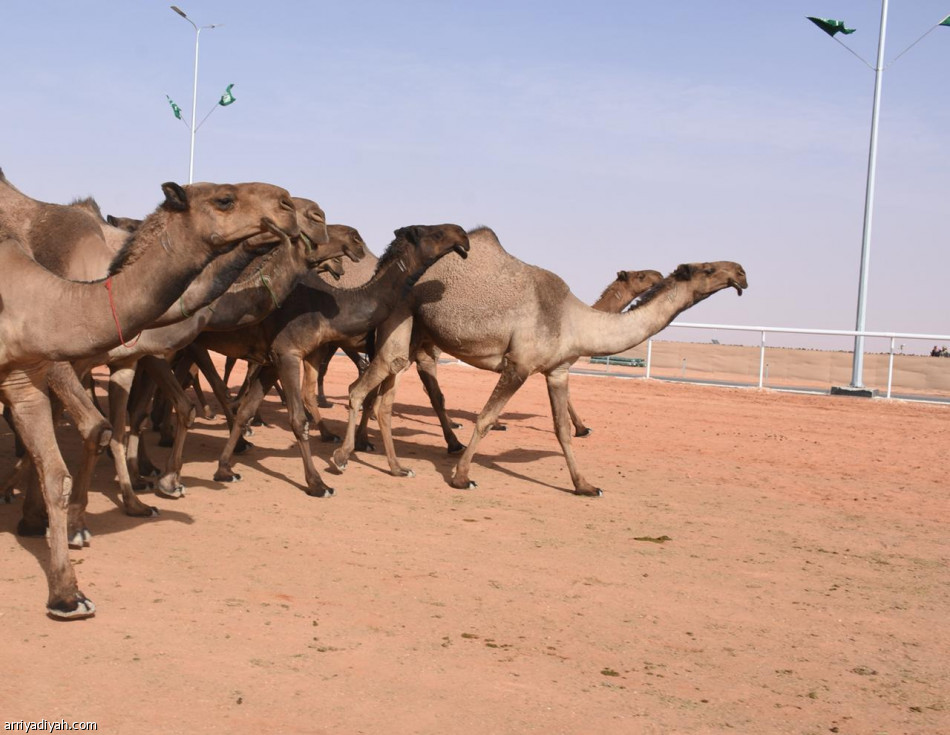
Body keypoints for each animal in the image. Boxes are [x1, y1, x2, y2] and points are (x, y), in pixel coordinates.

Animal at [0, 181, 298, 620]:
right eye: (224, 199)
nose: (288, 206)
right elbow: (99, 427)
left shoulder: (25, 376)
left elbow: (60, 472)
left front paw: (67, 595)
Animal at [203, 223, 470, 500]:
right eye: (436, 233)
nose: (462, 234)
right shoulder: (287, 353)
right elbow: (300, 419)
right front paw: (319, 482)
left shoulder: (273, 359)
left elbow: (248, 408)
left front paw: (224, 469)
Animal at [330, 227, 748, 498]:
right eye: (708, 269)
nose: (741, 272)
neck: (574, 319)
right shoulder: (519, 364)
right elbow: (486, 418)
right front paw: (462, 476)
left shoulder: (558, 371)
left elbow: (562, 430)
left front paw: (585, 485)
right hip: (401, 319)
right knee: (363, 386)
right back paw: (341, 457)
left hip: (414, 332)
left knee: (385, 397)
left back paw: (395, 466)